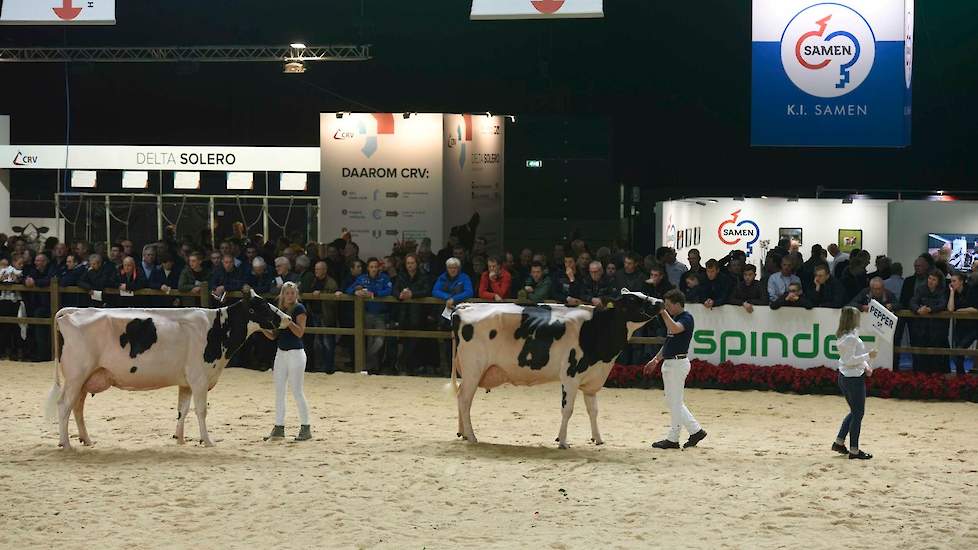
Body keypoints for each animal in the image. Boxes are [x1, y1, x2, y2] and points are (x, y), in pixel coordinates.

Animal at [45, 292, 288, 450]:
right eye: (263, 306)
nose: (287, 318)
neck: (217, 329)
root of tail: (72, 312)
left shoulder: (186, 382)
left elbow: (183, 410)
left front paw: (179, 439)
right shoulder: (199, 378)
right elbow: (201, 411)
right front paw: (207, 441)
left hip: (85, 379)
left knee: (77, 407)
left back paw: (86, 440)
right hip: (76, 376)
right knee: (64, 406)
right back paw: (65, 444)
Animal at [448, 288, 660, 448]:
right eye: (632, 299)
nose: (659, 301)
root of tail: (464, 306)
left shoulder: (592, 380)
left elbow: (593, 410)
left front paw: (598, 439)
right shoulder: (570, 376)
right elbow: (568, 410)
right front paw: (563, 441)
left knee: (460, 397)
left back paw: (463, 433)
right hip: (473, 369)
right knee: (465, 400)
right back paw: (472, 436)